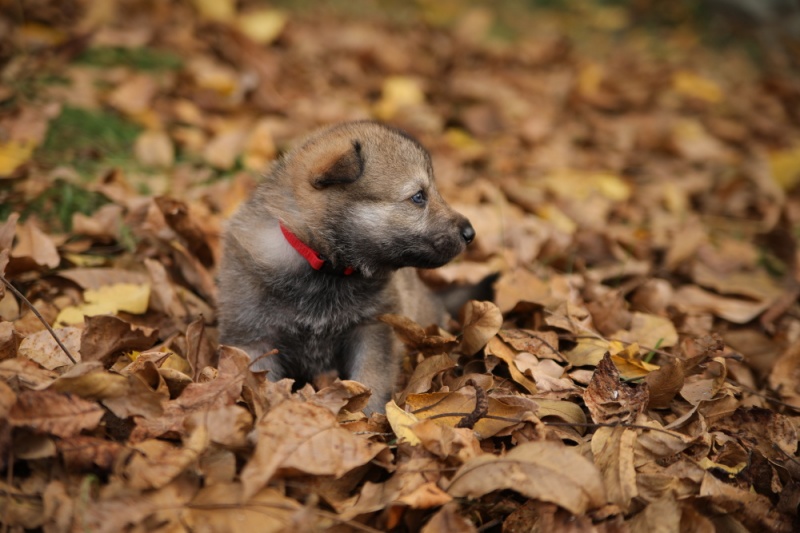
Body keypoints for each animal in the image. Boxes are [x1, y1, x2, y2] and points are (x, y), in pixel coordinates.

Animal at [217, 119, 476, 412]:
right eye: (419, 196)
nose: (470, 233)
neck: (325, 266)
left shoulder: (372, 330)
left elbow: (370, 379)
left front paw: (367, 416)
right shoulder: (254, 339)